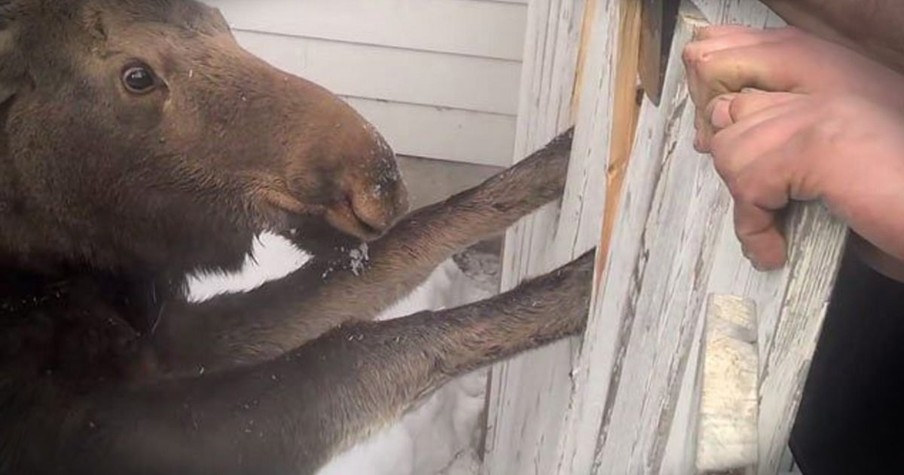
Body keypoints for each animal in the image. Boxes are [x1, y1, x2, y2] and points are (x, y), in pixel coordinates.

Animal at [0, 0, 596, 475]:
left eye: (220, 21)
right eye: (138, 76)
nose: (378, 183)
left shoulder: (169, 336)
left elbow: (413, 242)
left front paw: (559, 162)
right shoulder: (97, 434)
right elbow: (355, 351)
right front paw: (583, 286)